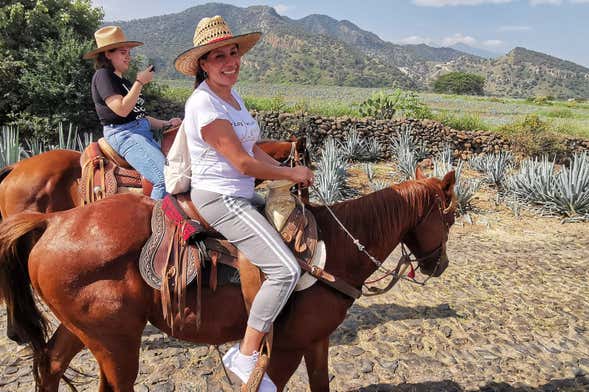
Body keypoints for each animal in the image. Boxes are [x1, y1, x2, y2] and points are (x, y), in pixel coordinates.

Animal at [0, 171, 454, 392]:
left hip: (84, 331)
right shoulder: (285, 348)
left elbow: (320, 383)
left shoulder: (315, 341)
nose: (440, 266)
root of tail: (52, 222)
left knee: (51, 364)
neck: (337, 248)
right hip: (116, 343)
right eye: (449, 218)